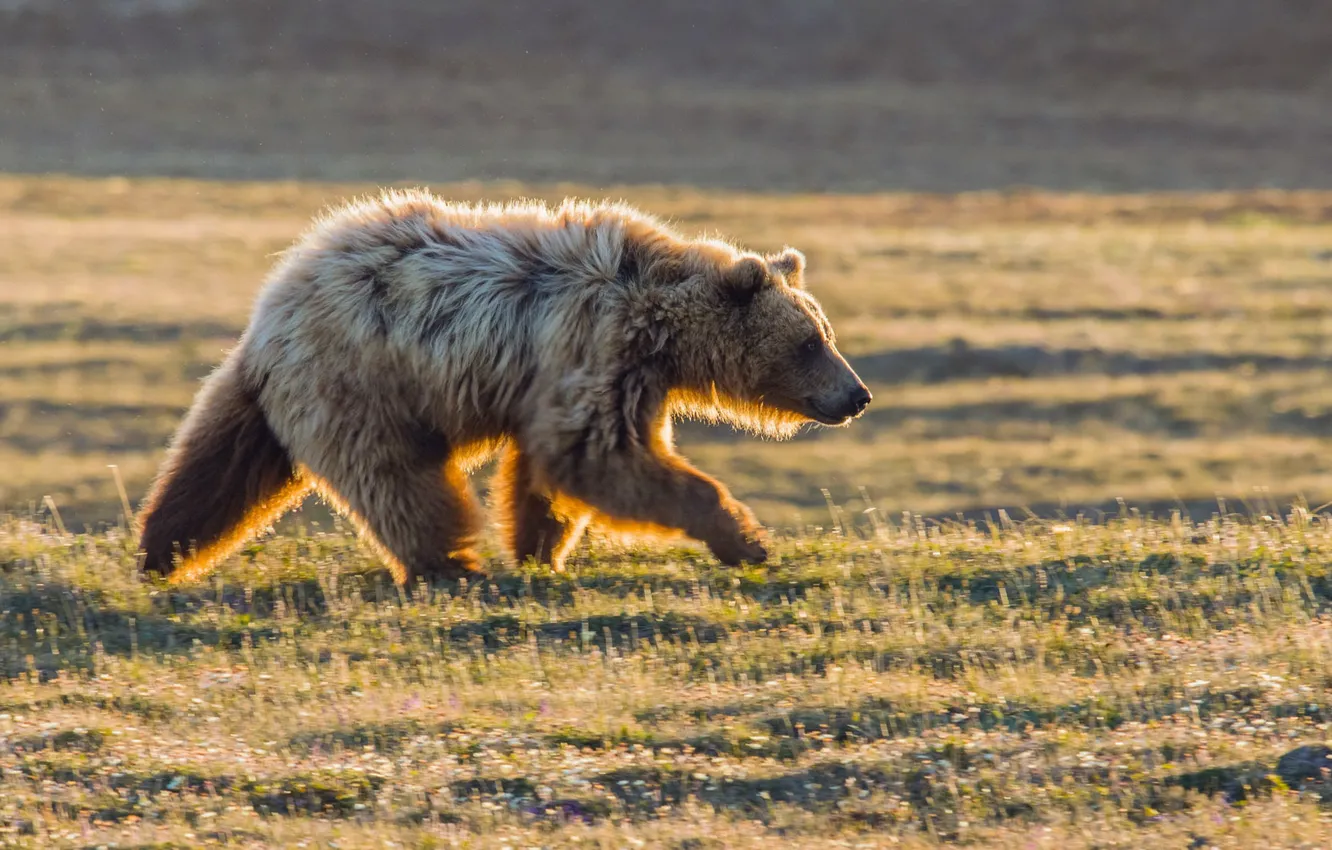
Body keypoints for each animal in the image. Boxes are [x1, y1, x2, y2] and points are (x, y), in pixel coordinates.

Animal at [136, 190, 872, 585]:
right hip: (361, 383)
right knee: (399, 480)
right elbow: (596, 456)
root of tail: (272, 308)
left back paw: (159, 550)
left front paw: (540, 549)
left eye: (826, 331)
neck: (662, 328)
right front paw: (745, 538)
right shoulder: (594, 346)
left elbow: (552, 468)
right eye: (811, 343)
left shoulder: (618, 378)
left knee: (217, 467)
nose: (856, 395)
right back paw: (451, 564)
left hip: (270, 395)